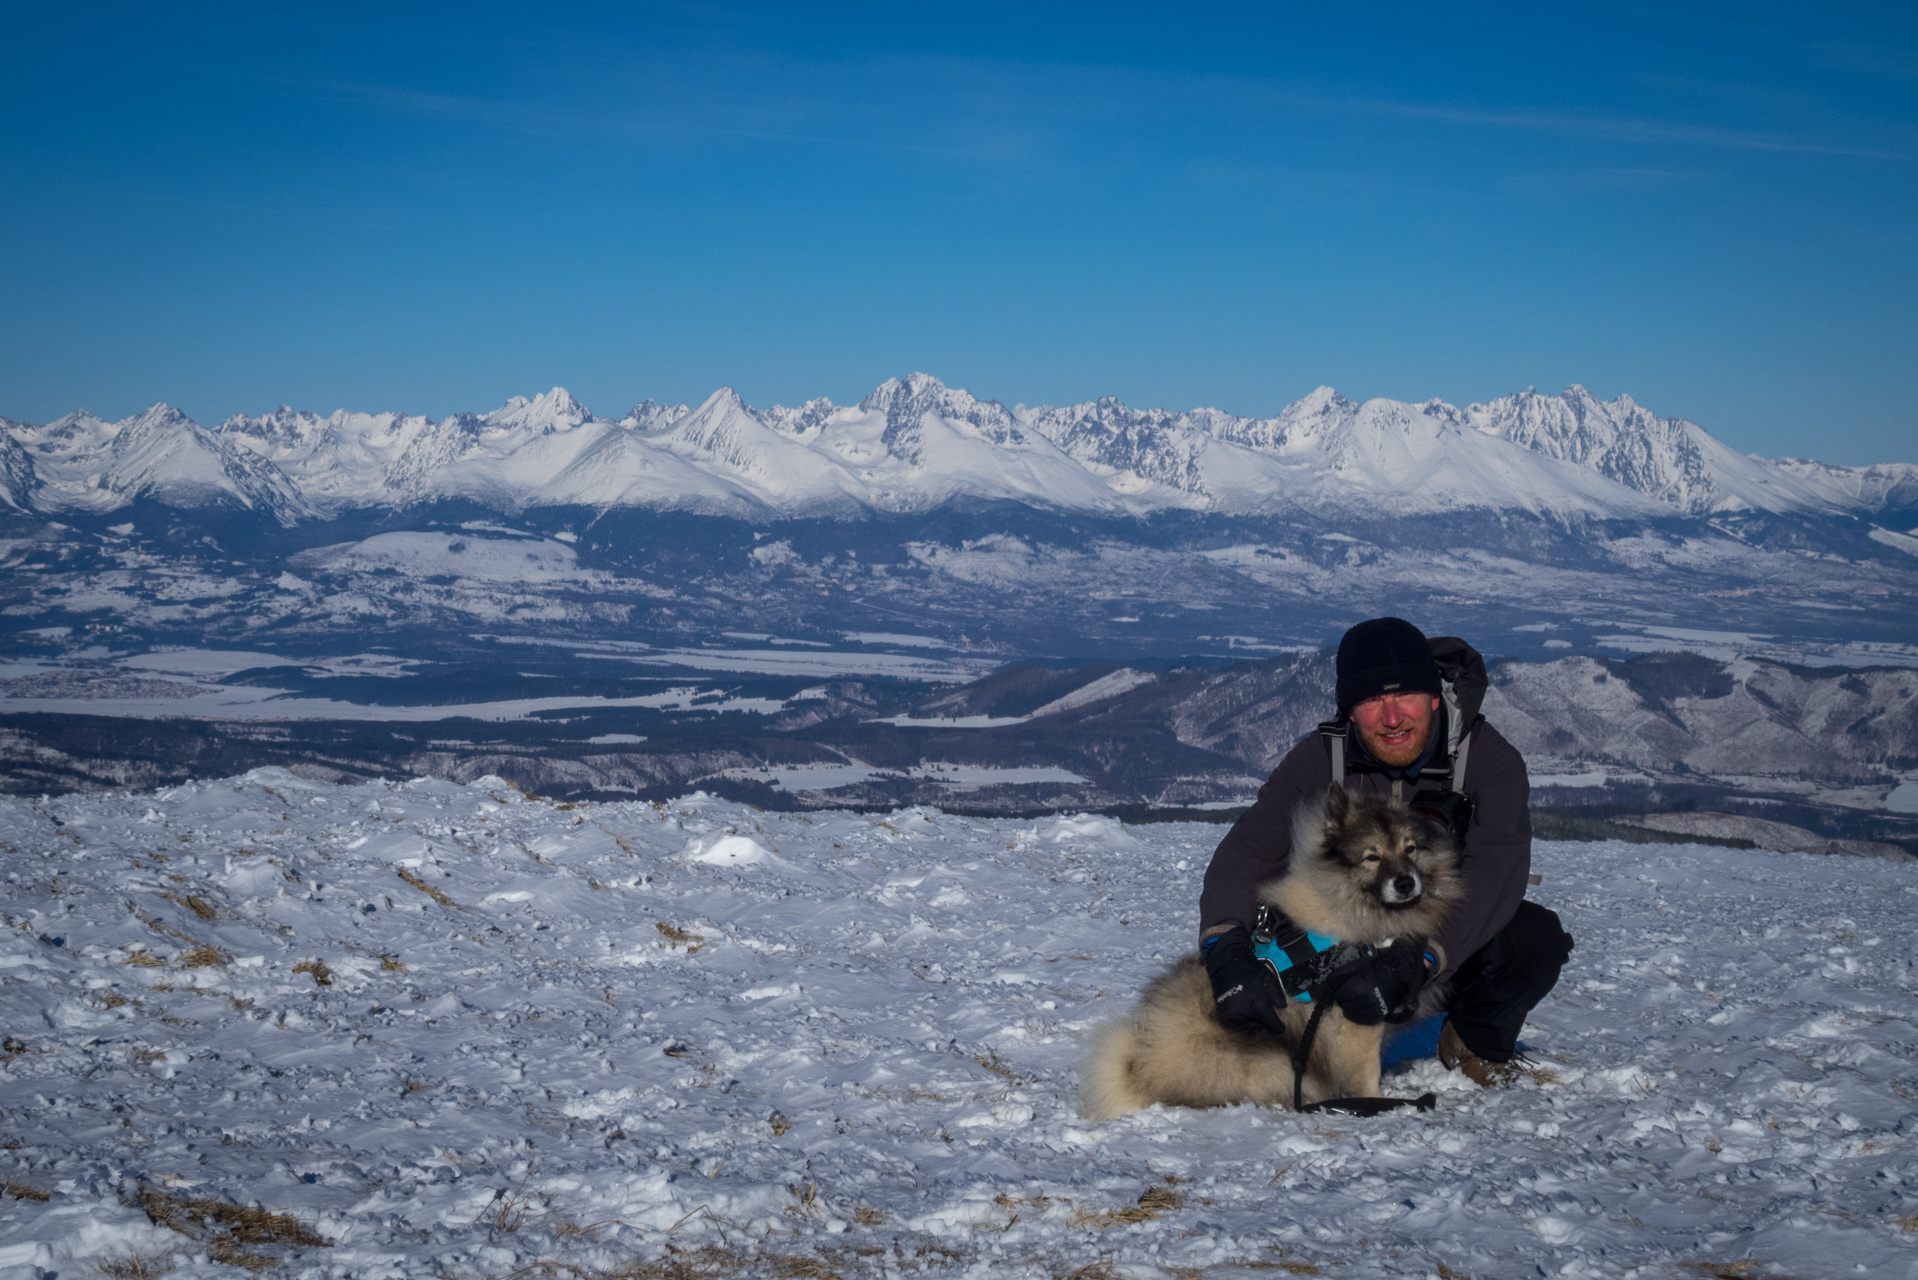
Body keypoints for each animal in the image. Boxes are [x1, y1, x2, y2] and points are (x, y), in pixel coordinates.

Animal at [1074, 786, 1457, 1128]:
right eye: (1371, 856)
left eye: (1410, 849)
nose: (1405, 883)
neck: (1348, 907)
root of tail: (1142, 1068)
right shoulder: (1357, 1021)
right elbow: (1366, 1073)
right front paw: (1380, 1102)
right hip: (1273, 1064)